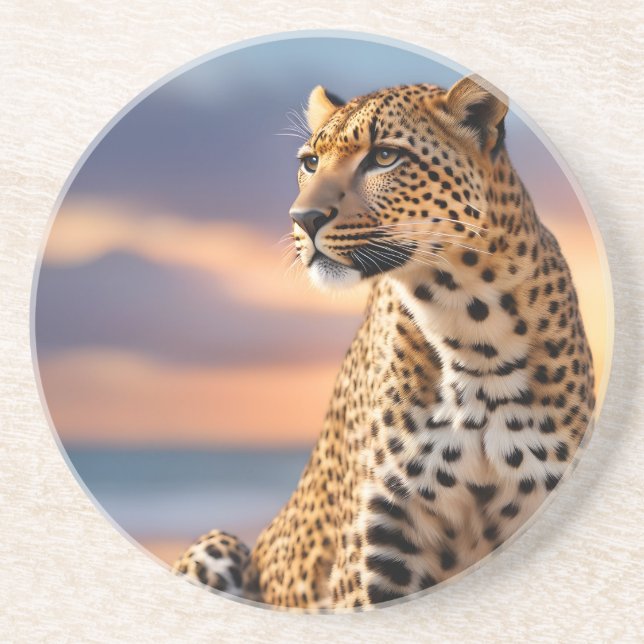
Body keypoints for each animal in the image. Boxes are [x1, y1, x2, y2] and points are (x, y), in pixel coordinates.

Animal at [173, 75, 595, 610]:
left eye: (385, 157)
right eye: (310, 162)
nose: (303, 218)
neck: (473, 332)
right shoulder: (375, 554)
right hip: (217, 543)